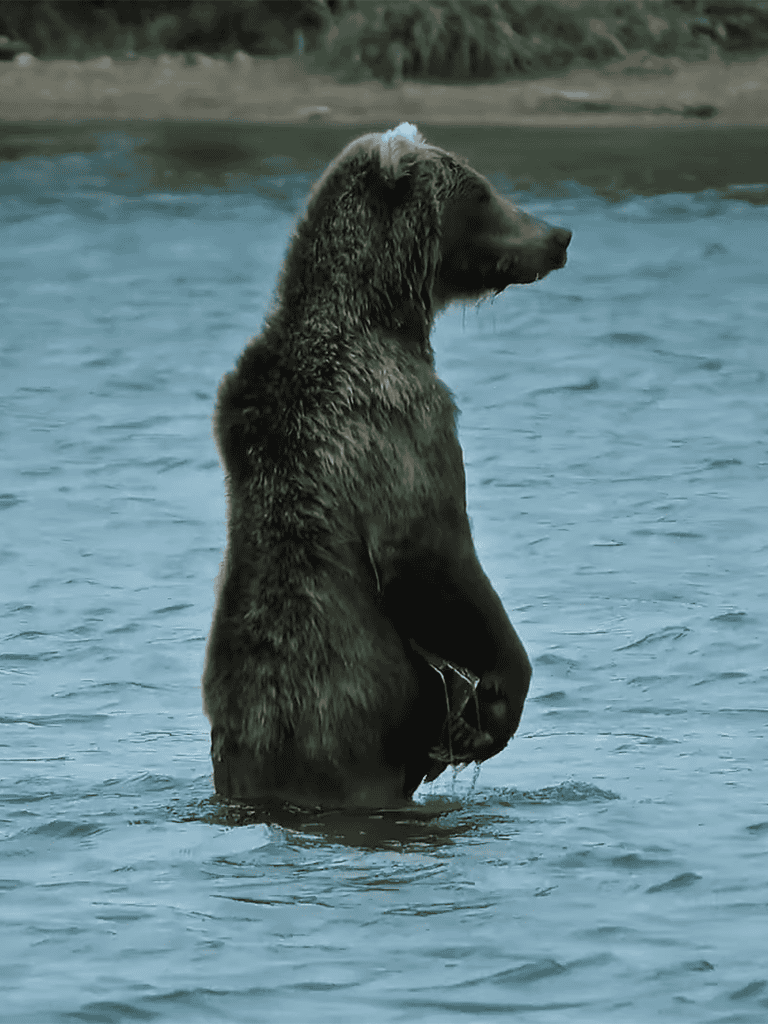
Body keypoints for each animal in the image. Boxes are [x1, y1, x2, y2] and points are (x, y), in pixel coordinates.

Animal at [202, 122, 571, 809]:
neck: (382, 315)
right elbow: (429, 552)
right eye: (482, 192)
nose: (557, 235)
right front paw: (492, 703)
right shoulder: (396, 414)